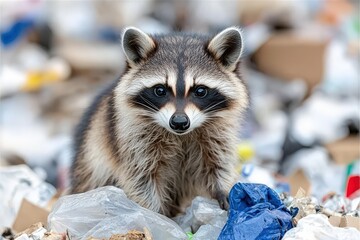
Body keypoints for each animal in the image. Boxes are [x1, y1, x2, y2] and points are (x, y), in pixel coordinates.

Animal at [71, 26, 249, 218]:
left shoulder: (219, 132)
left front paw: (223, 188)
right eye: (160, 90)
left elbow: (218, 163)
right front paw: (156, 214)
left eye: (200, 91)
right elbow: (142, 178)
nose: (179, 122)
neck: (181, 135)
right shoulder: (132, 136)